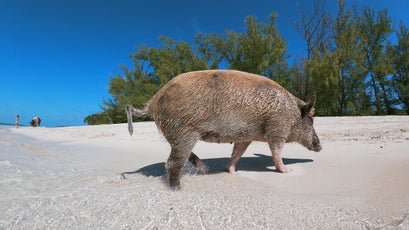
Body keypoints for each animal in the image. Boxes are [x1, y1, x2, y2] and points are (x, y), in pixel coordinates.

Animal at [124, 69, 318, 188]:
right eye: (311, 120)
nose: (320, 146)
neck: (292, 113)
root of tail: (153, 102)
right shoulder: (277, 129)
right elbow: (276, 151)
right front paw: (287, 171)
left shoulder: (246, 136)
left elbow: (237, 152)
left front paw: (232, 171)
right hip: (183, 131)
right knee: (172, 163)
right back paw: (178, 188)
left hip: (175, 134)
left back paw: (204, 169)